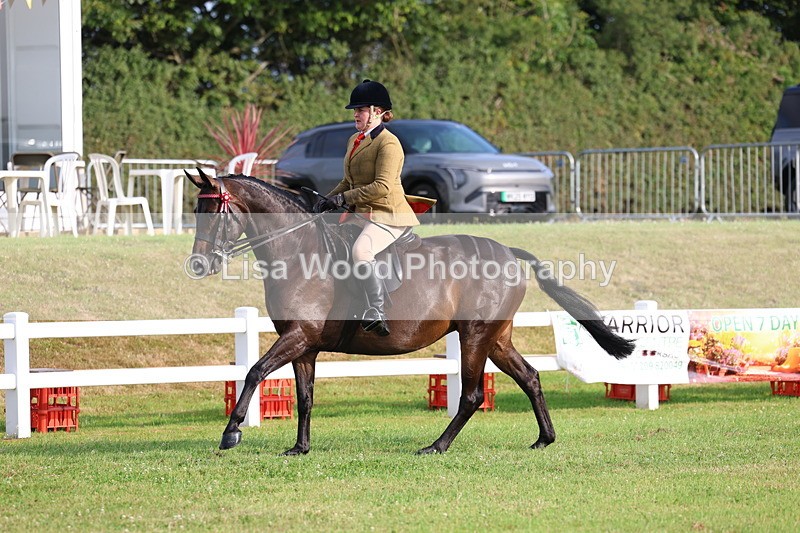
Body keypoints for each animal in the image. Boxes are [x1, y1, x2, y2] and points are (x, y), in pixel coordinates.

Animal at [186, 170, 634, 455]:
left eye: (214, 212)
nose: (198, 265)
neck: (298, 251)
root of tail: (508, 251)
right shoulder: (305, 345)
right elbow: (306, 396)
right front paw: (300, 447)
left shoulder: (298, 336)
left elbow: (254, 371)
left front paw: (231, 432)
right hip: (496, 338)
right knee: (529, 377)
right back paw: (544, 439)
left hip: (475, 335)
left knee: (471, 395)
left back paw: (436, 446)